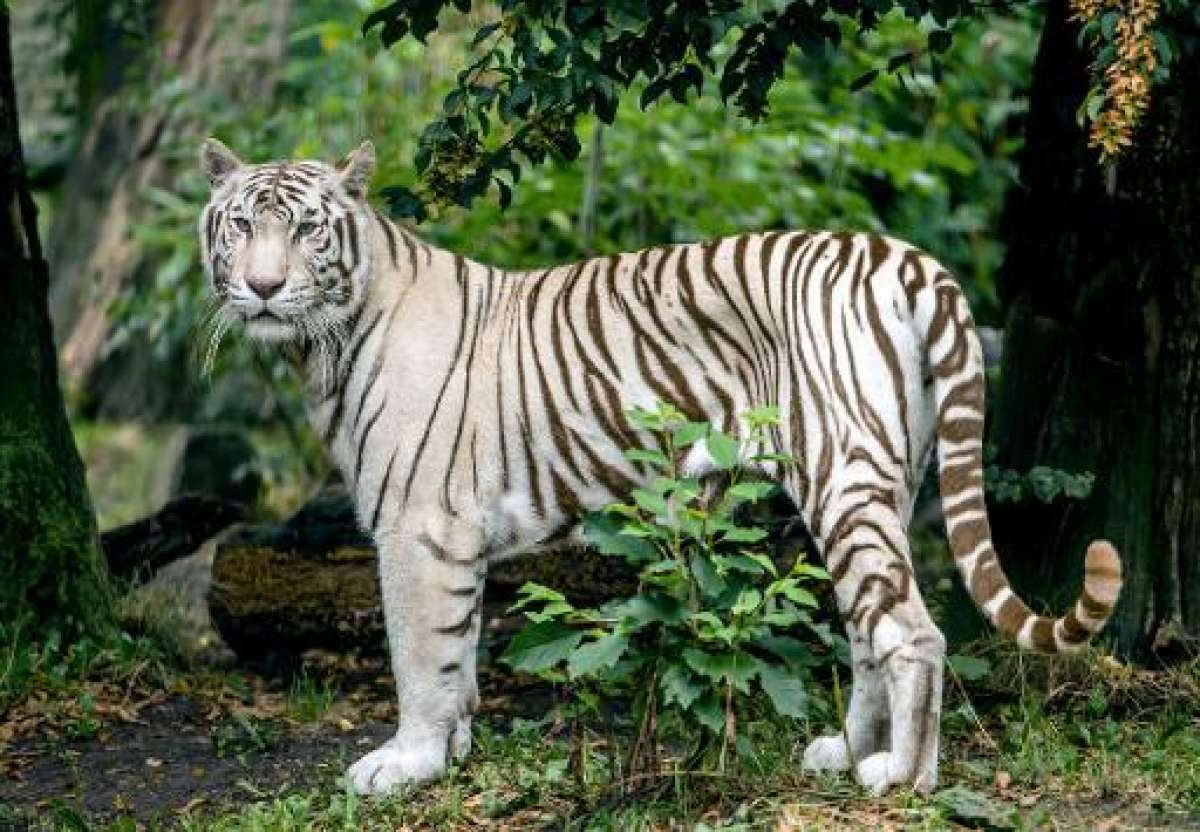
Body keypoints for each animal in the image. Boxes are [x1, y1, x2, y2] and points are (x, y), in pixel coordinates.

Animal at [196, 137, 1122, 796]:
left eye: (305, 228)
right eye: (241, 225)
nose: (264, 287)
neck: (324, 344)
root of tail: (903, 256)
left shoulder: (418, 530)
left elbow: (419, 658)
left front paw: (405, 765)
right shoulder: (456, 541)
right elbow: (459, 658)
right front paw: (453, 753)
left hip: (843, 478)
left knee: (911, 630)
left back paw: (903, 778)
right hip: (884, 480)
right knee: (869, 624)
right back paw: (843, 752)